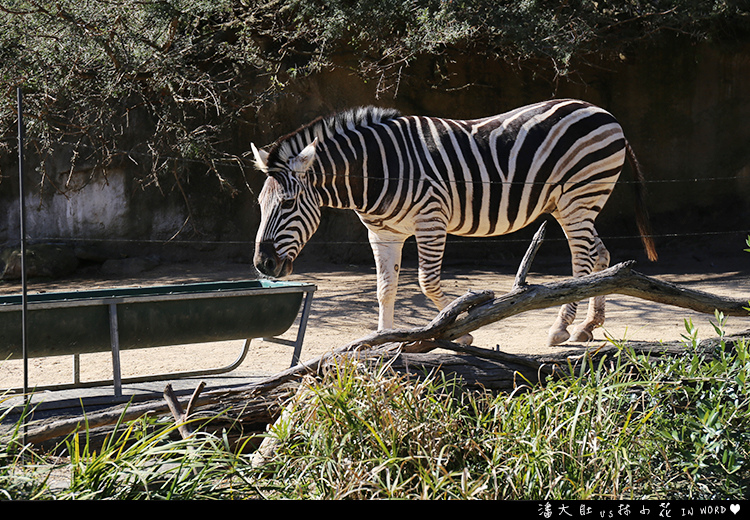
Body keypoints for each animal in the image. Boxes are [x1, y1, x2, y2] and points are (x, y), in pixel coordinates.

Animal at [253, 100, 656, 348]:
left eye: (288, 203)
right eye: (260, 205)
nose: (263, 264)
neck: (377, 169)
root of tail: (605, 113)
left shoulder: (430, 220)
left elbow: (427, 283)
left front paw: (458, 332)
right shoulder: (383, 233)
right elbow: (385, 288)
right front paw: (381, 340)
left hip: (578, 197)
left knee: (583, 262)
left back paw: (560, 328)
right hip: (576, 204)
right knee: (602, 257)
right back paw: (587, 326)